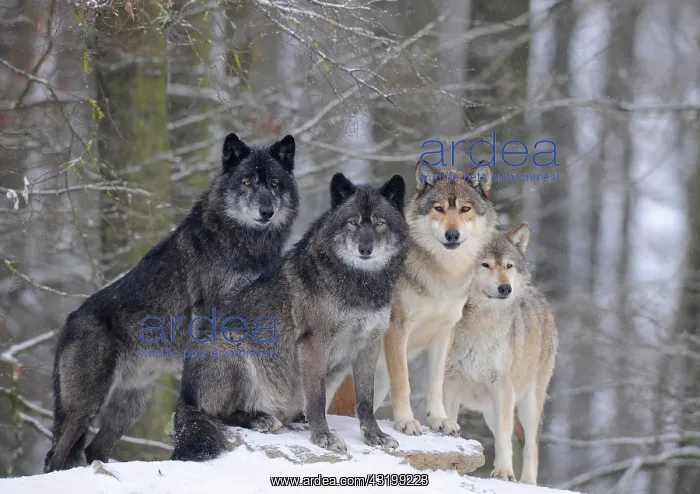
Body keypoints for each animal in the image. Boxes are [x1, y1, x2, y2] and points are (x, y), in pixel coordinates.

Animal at [44, 134, 300, 473]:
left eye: (273, 183)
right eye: (246, 182)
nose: (266, 211)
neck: (244, 243)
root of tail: (68, 324)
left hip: (130, 408)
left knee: (94, 449)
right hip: (86, 404)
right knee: (57, 455)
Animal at [170, 173, 410, 462]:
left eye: (379, 223)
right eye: (352, 222)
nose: (365, 249)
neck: (361, 285)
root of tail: (184, 394)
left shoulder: (369, 345)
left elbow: (365, 399)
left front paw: (375, 436)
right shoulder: (314, 344)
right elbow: (317, 398)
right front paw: (324, 437)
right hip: (232, 349)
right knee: (215, 414)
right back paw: (261, 419)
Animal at [443, 224, 558, 485]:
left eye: (508, 266)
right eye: (485, 265)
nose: (506, 288)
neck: (480, 326)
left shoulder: (502, 387)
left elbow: (505, 437)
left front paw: (504, 472)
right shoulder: (449, 383)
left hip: (527, 405)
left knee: (531, 446)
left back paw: (526, 482)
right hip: (490, 412)